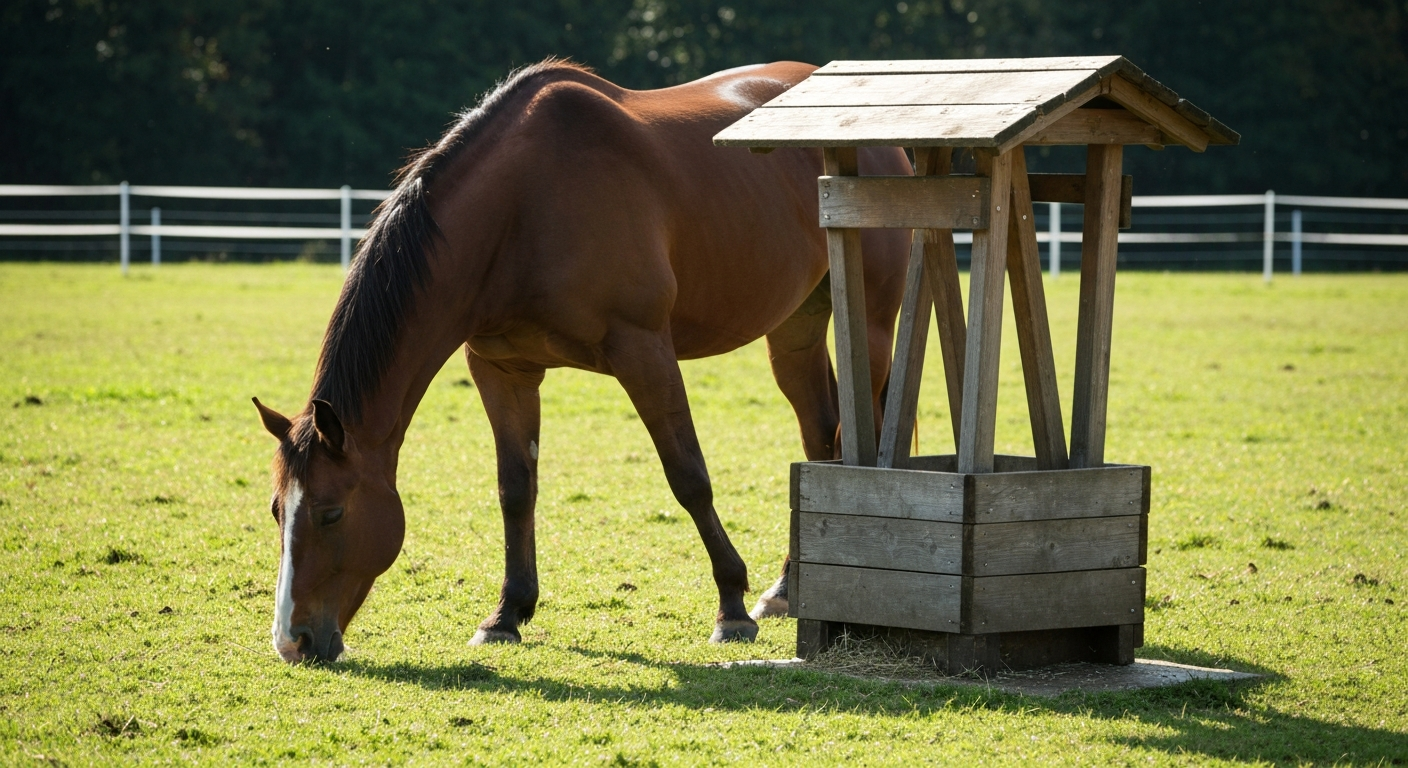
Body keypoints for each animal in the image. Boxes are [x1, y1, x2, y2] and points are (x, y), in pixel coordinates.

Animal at [252, 59, 911, 663]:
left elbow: (688, 476)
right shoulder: (502, 369)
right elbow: (516, 488)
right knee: (819, 438)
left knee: (854, 437)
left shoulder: (644, 350)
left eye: (332, 513)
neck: (523, 207)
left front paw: (730, 607)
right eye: (278, 510)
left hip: (872, 320)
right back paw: (787, 588)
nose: (292, 641)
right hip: (794, 331)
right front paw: (507, 614)